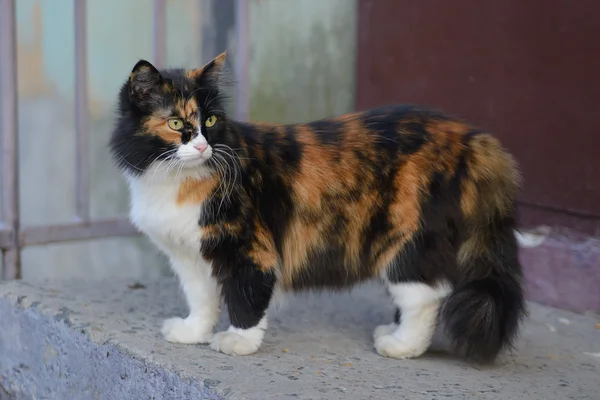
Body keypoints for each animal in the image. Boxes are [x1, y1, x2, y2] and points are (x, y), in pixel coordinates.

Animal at [109, 50, 524, 362]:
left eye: (210, 120)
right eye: (176, 123)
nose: (201, 146)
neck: (176, 182)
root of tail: (475, 138)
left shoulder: (248, 248)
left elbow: (245, 297)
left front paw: (238, 341)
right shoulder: (190, 256)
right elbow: (202, 299)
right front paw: (192, 332)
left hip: (406, 239)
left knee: (426, 296)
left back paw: (400, 346)